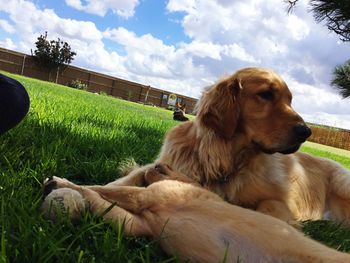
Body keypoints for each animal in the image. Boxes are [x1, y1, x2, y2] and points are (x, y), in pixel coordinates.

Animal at [43, 165, 350, 263]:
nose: (154, 166)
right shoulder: (136, 225)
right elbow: (97, 198)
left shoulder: (146, 197)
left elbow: (95, 188)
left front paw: (60, 183)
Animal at [102, 67, 348, 228]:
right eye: (266, 94)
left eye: (289, 100)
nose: (306, 132)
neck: (221, 157)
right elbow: (128, 177)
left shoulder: (281, 203)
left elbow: (263, 207)